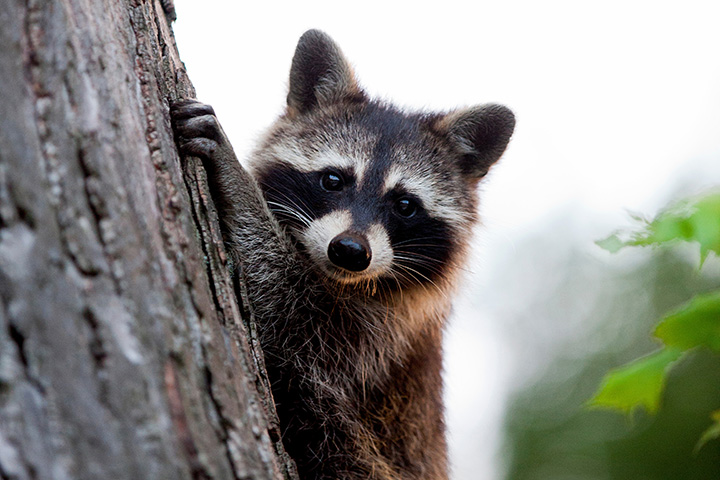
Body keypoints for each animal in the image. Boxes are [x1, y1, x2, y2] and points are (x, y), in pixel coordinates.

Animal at [172, 30, 514, 480]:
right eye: (333, 180)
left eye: (405, 205)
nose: (350, 251)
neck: (345, 279)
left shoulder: (377, 340)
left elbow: (286, 309)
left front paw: (237, 183)